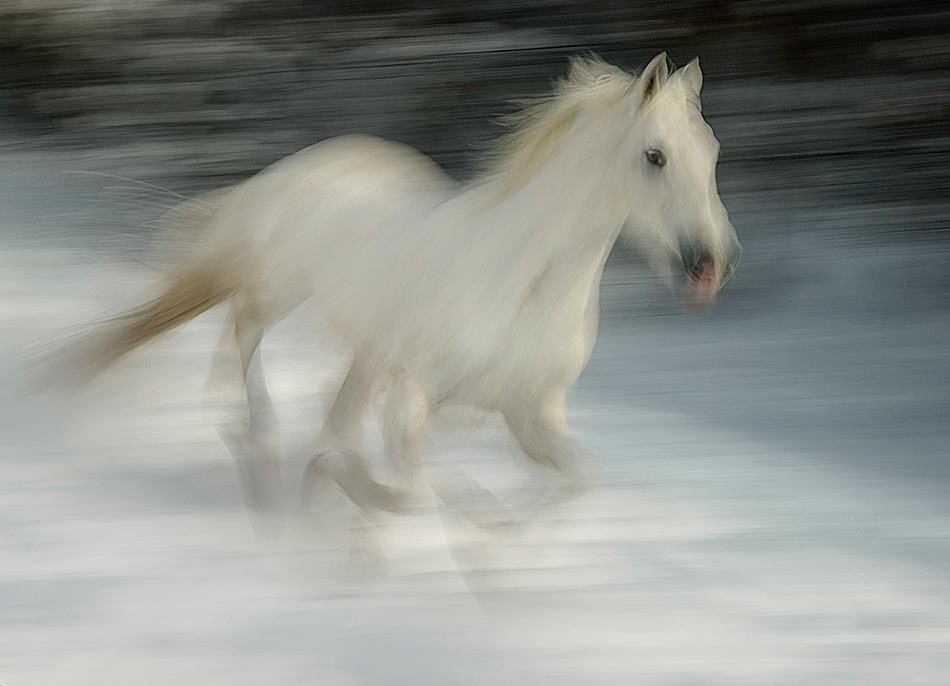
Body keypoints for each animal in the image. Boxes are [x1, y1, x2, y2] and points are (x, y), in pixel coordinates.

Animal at [59, 55, 744, 520]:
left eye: (711, 151)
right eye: (654, 156)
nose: (711, 264)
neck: (524, 287)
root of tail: (307, 161)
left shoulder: (533, 414)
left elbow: (573, 483)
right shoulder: (412, 395)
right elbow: (414, 491)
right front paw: (345, 488)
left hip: (364, 347)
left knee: (323, 395)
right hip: (280, 289)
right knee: (243, 330)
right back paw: (255, 440)